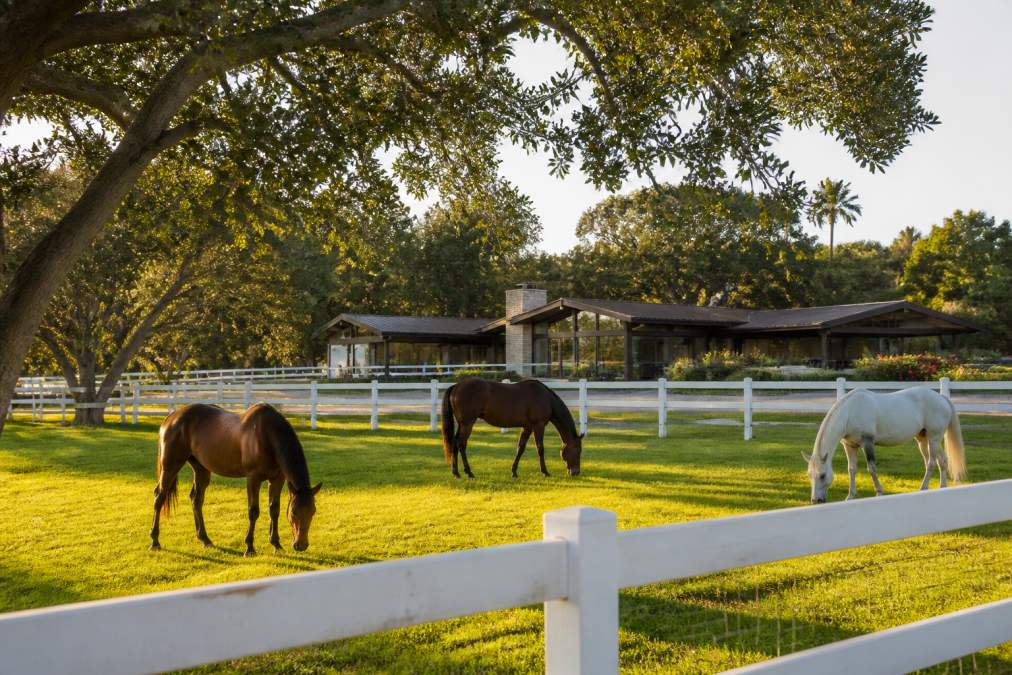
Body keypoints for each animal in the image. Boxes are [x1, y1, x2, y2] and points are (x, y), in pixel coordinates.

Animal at [149, 403, 321, 556]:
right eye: (294, 512)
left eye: (313, 511)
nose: (301, 545)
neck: (266, 435)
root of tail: (171, 417)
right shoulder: (253, 478)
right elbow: (253, 511)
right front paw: (249, 547)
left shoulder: (277, 479)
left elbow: (274, 509)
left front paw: (276, 544)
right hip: (170, 466)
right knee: (159, 497)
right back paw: (155, 541)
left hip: (201, 469)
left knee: (196, 500)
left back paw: (205, 539)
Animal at [441, 378, 583, 479]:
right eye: (578, 450)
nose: (576, 472)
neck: (546, 398)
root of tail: (456, 386)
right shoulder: (538, 425)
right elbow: (540, 448)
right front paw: (545, 472)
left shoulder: (527, 427)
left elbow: (520, 448)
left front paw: (514, 472)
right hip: (467, 424)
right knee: (461, 444)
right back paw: (469, 473)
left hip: (462, 424)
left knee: (454, 443)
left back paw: (456, 473)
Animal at [803, 387, 966, 504]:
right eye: (809, 475)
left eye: (823, 475)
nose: (815, 500)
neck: (850, 412)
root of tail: (941, 398)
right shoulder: (850, 446)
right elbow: (852, 470)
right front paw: (850, 496)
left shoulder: (868, 443)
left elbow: (872, 468)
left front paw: (879, 492)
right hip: (925, 440)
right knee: (941, 461)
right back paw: (942, 487)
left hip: (933, 438)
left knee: (932, 463)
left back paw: (923, 488)